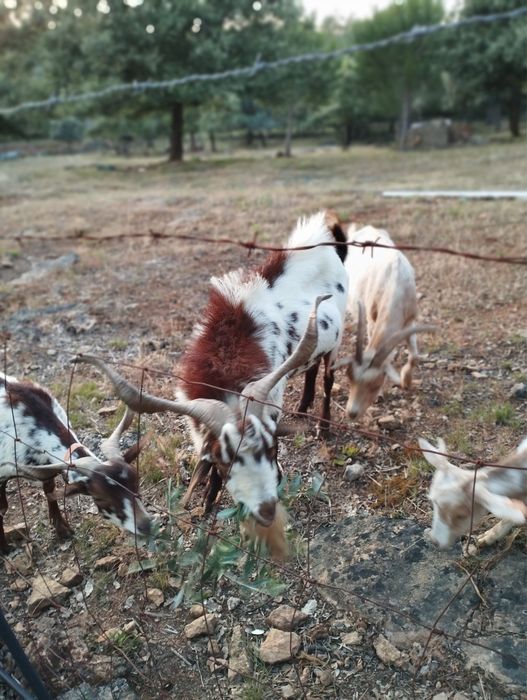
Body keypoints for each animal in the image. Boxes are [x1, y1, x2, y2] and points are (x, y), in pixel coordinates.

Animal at [0, 372, 152, 551]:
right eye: (99, 497)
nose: (145, 525)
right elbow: (2, 508)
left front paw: (61, 529)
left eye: (136, 482)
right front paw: (4, 548)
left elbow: (50, 490)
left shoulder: (45, 468)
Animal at [75, 211, 349, 559]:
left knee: (327, 378)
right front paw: (206, 501)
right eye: (223, 459)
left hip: (336, 341)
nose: (267, 511)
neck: (225, 355)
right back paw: (302, 408)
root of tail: (320, 238)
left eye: (272, 448)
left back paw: (323, 426)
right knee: (311, 370)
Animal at [334, 225, 432, 420]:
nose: (351, 413)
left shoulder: (409, 321)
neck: (394, 285)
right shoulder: (372, 319)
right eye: (349, 377)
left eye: (375, 384)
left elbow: (415, 356)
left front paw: (406, 381)